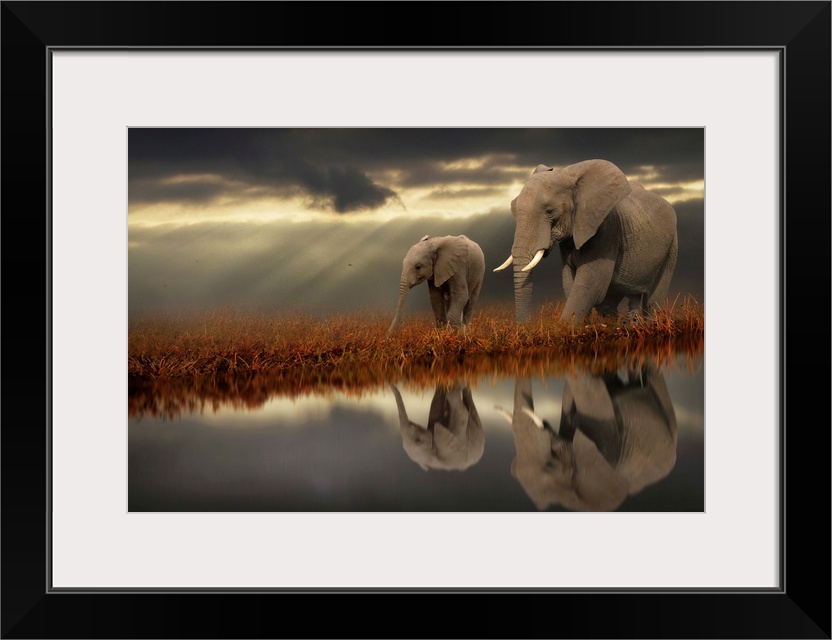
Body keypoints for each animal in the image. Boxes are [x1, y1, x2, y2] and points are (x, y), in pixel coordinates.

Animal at [494, 158, 676, 322]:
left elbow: (590, 286)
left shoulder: (606, 229)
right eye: (514, 208)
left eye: (550, 211)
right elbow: (570, 284)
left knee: (652, 302)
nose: (525, 327)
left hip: (671, 247)